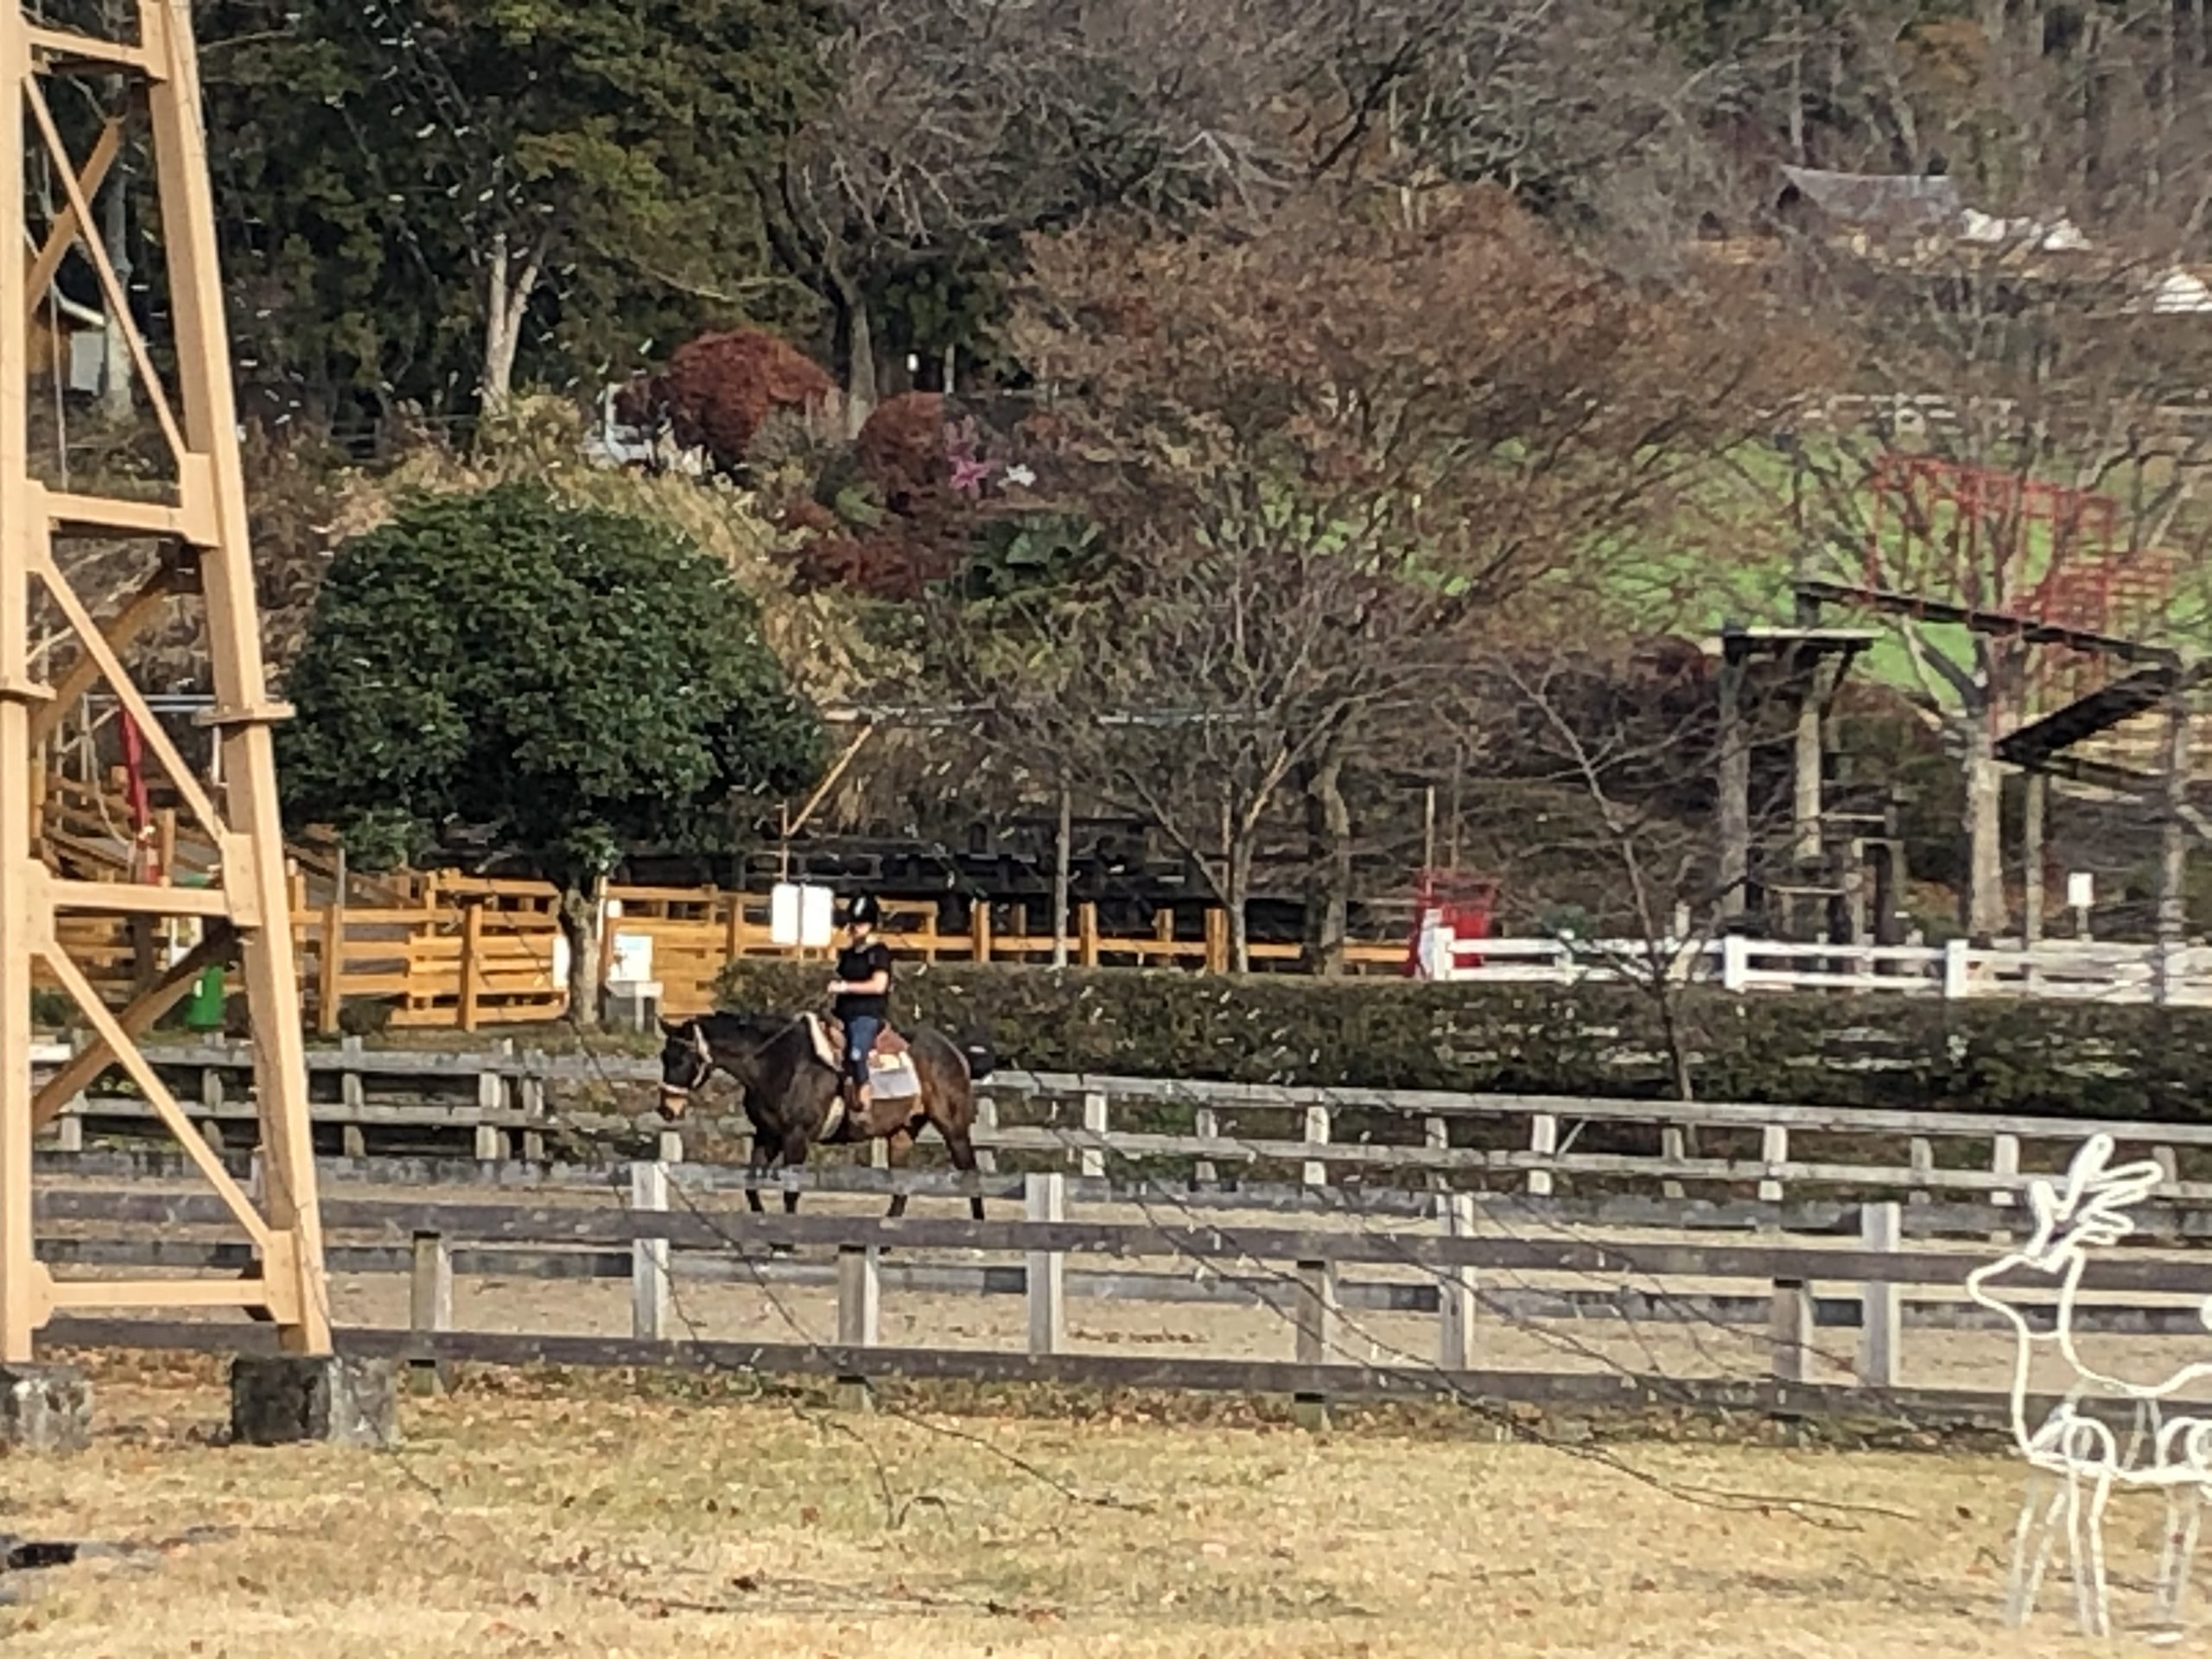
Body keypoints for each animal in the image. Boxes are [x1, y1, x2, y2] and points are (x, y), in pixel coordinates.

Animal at [654, 1010, 994, 1221]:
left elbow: (791, 1192)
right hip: (901, 1133)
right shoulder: (768, 1135)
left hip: (953, 1128)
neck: (777, 1062)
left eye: (682, 1058)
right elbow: (750, 1185)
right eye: (664, 1056)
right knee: (901, 1187)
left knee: (970, 1171)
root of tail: (955, 1051)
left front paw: (785, 1244)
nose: (666, 1108)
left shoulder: (796, 1138)